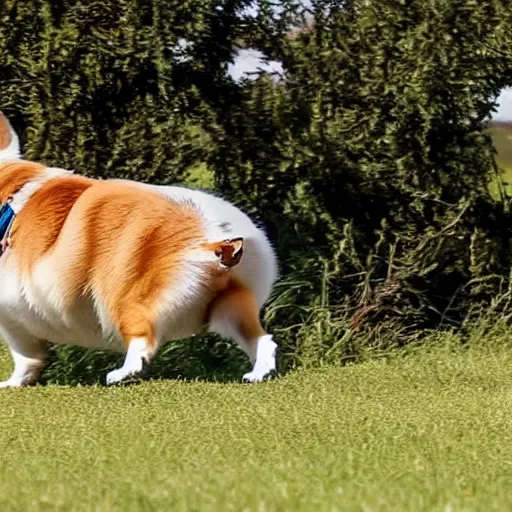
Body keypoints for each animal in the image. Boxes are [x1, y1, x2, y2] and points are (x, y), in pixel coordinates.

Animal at [0, 111, 278, 384]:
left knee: (142, 344)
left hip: (127, 299)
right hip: (231, 304)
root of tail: (216, 239)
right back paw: (259, 374)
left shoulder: (12, 317)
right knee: (263, 341)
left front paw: (12, 384)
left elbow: (25, 356)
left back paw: (120, 374)